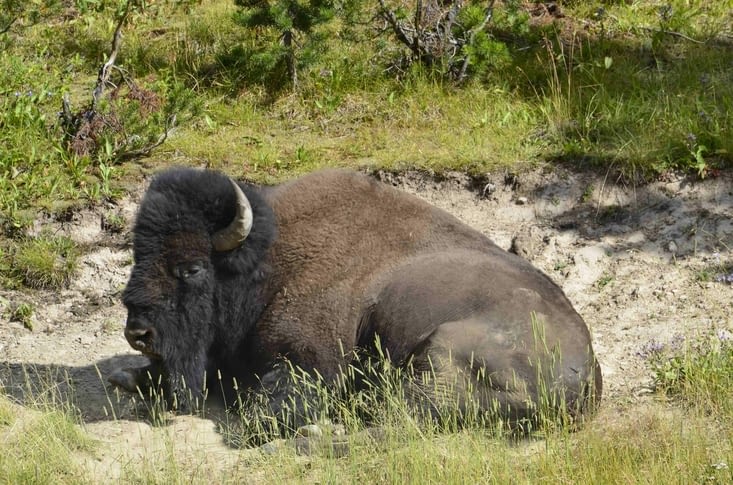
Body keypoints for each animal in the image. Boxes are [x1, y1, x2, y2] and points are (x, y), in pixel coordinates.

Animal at [110, 167, 601, 430]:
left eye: (191, 267)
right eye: (138, 254)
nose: (138, 333)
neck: (268, 259)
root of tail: (586, 376)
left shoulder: (312, 362)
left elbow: (266, 412)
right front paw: (128, 378)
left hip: (441, 352)